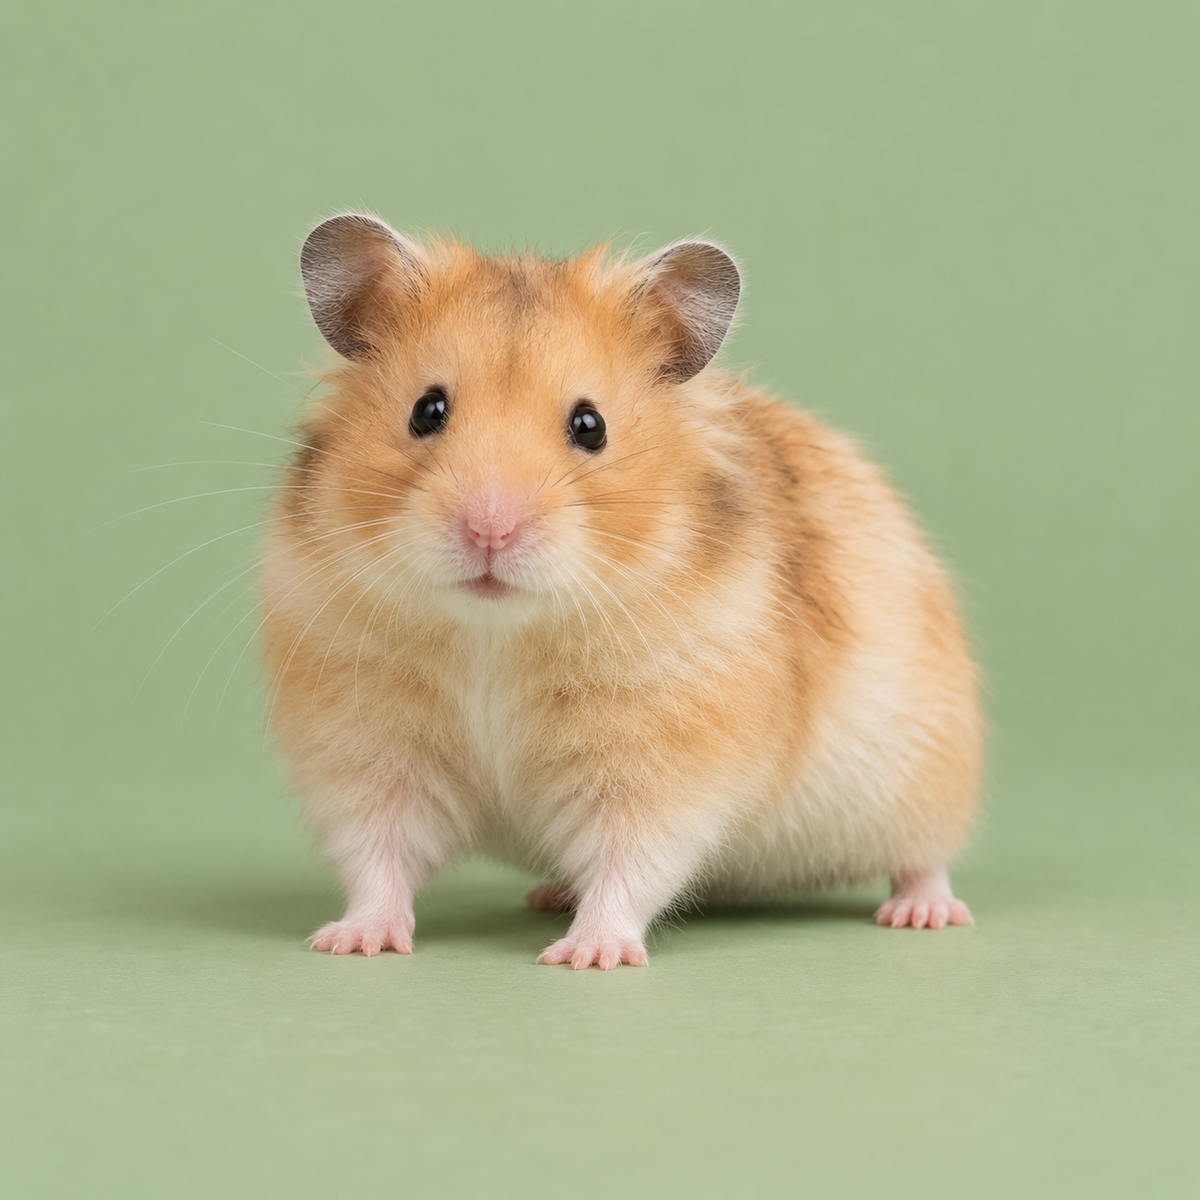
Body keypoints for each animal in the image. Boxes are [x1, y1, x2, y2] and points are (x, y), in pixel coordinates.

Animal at [262, 212, 982, 970]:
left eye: (590, 426)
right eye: (426, 411)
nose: (490, 529)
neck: (495, 633)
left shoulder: (660, 769)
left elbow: (628, 860)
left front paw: (587, 957)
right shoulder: (364, 751)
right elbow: (378, 855)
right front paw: (351, 943)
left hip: (925, 772)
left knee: (925, 857)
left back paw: (922, 914)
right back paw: (548, 894)